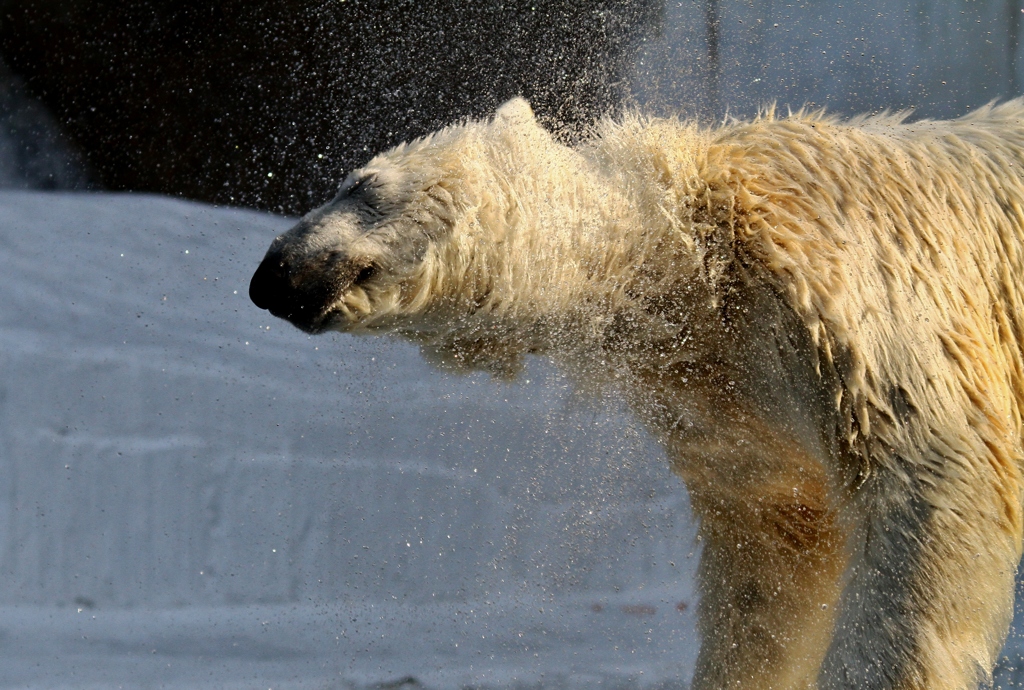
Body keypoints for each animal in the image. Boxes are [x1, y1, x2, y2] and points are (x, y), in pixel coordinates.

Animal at [249, 98, 1024, 687]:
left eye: (363, 185)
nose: (272, 275)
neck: (692, 242)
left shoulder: (845, 305)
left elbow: (933, 495)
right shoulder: (725, 397)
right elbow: (773, 554)